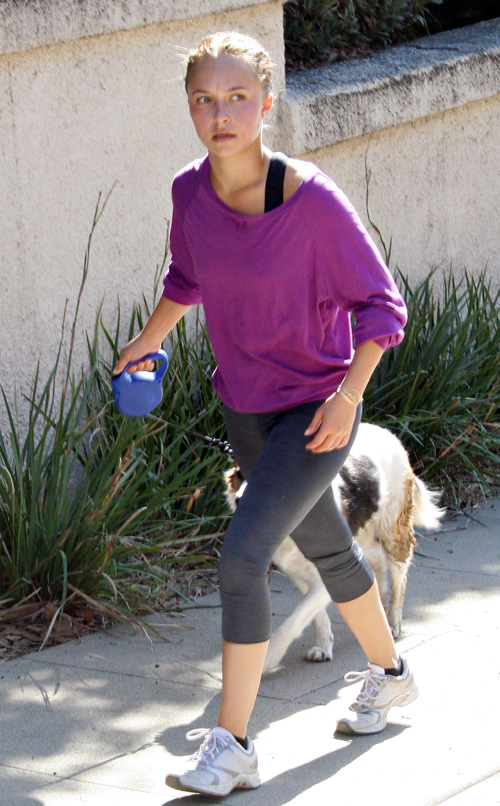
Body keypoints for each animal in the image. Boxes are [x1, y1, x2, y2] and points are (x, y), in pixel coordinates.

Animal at [224, 422, 444, 674]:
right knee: (376, 560)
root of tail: (388, 433)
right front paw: (323, 645)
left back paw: (393, 621)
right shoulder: (300, 574)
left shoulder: (330, 574)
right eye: (240, 474)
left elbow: (295, 619)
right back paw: (379, 599)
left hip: (392, 530)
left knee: (399, 575)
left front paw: (269, 657)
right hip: (360, 538)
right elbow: (315, 615)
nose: (241, 500)